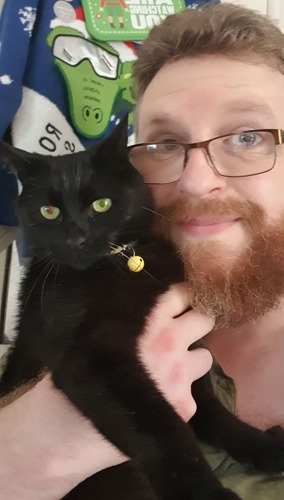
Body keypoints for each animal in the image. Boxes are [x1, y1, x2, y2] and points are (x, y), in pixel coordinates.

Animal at [0, 118, 284, 500]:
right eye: (49, 211)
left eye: (102, 204)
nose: (76, 238)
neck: (124, 265)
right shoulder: (88, 357)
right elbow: (158, 425)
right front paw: (202, 490)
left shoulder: (191, 350)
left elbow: (211, 410)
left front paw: (263, 448)